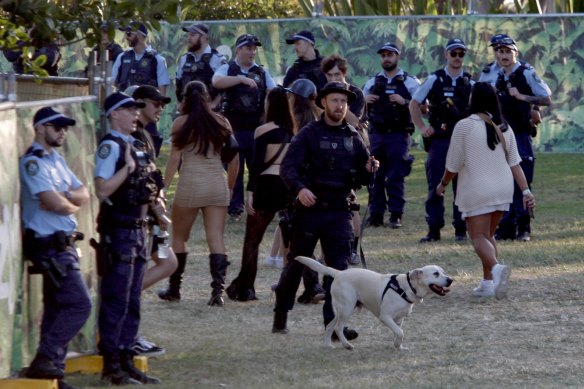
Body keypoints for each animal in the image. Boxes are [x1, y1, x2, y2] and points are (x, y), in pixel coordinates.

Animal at [294, 256, 454, 350]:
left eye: (443, 272)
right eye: (435, 274)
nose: (451, 280)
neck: (406, 287)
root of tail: (339, 273)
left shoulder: (399, 319)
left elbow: (398, 332)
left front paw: (398, 346)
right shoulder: (385, 317)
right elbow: (400, 332)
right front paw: (398, 344)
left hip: (342, 310)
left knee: (329, 326)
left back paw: (328, 345)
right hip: (347, 309)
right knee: (338, 328)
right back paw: (347, 345)